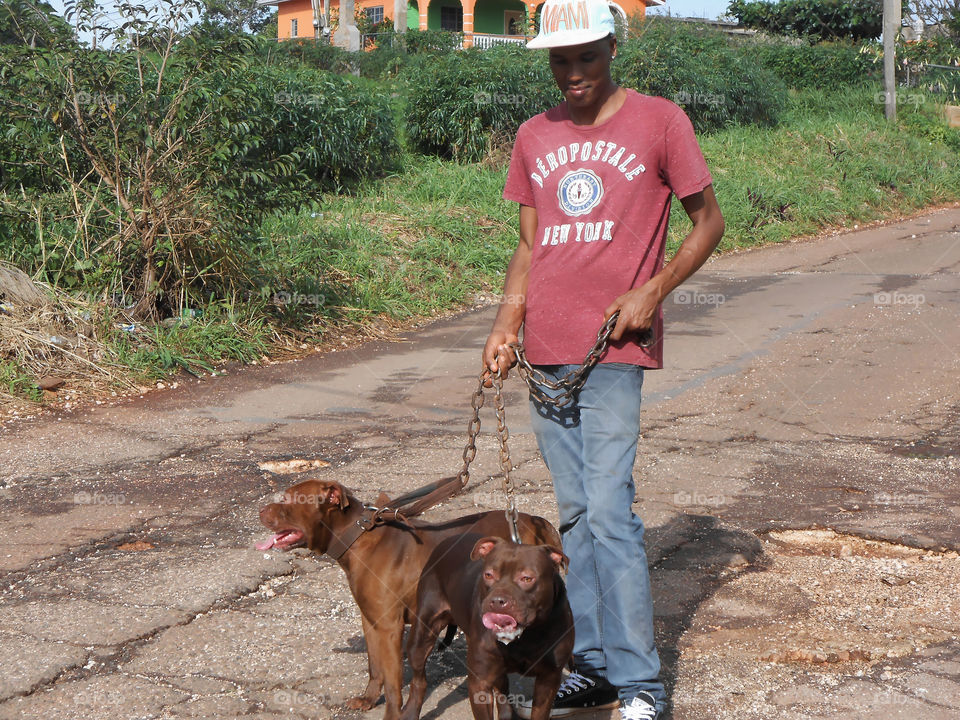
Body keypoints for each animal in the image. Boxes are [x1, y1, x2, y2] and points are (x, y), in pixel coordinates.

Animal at [396, 536, 568, 720]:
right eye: (488, 575)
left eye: (527, 578)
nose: (498, 601)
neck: (526, 635)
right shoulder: (480, 682)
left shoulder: (548, 680)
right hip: (421, 636)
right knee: (419, 679)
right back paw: (410, 712)